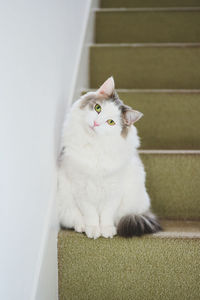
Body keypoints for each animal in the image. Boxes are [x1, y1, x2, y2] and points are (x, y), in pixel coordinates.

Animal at [57, 77, 162, 239]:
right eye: (97, 108)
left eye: (111, 122)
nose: (95, 123)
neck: (95, 146)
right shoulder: (81, 188)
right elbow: (91, 214)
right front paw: (93, 229)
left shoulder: (115, 189)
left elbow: (106, 214)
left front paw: (106, 230)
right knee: (75, 218)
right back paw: (81, 227)